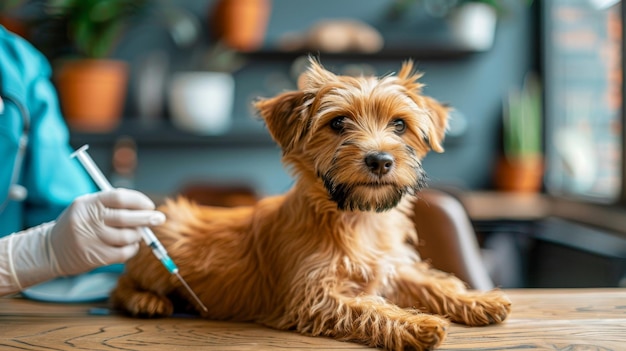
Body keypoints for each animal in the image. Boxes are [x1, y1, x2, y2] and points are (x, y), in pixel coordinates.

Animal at [109, 59, 510, 350]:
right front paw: (415, 323)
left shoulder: (391, 267)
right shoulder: (313, 295)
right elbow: (370, 306)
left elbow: (430, 282)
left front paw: (477, 300)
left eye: (399, 125)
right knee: (119, 286)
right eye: (338, 123)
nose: (380, 160)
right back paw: (145, 301)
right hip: (161, 251)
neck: (355, 219)